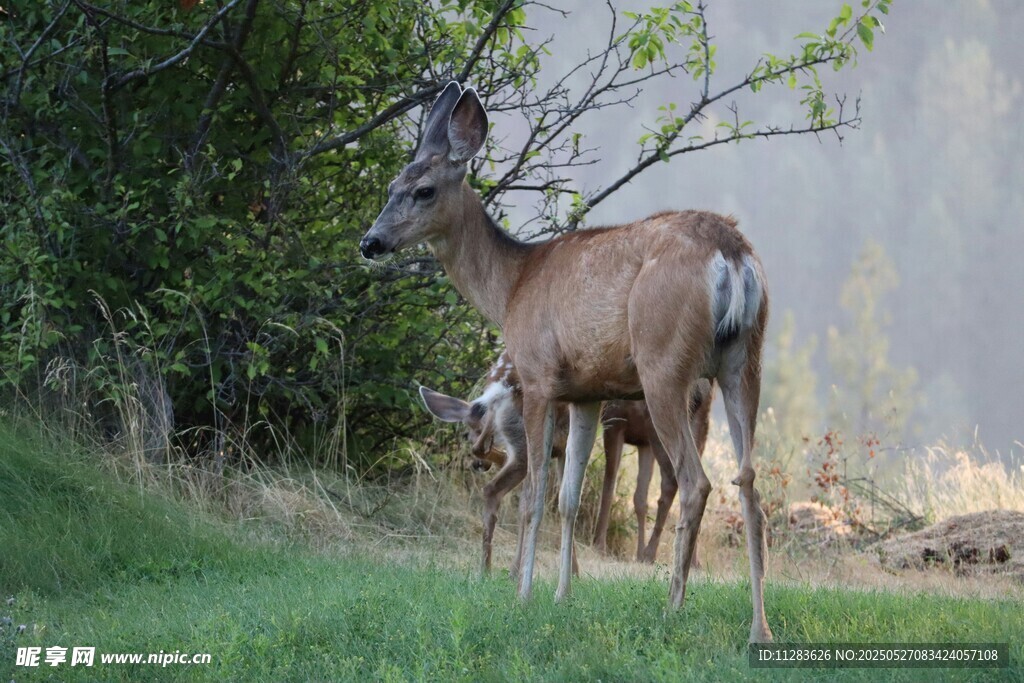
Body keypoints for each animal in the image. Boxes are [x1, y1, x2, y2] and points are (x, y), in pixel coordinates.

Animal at [360, 82, 773, 642]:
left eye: (423, 190)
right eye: (389, 185)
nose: (370, 242)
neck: (512, 286)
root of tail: (731, 252)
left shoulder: (537, 378)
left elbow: (534, 494)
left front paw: (523, 595)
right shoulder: (586, 392)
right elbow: (569, 499)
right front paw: (562, 596)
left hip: (664, 361)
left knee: (696, 482)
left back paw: (673, 609)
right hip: (744, 360)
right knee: (749, 482)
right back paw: (759, 628)